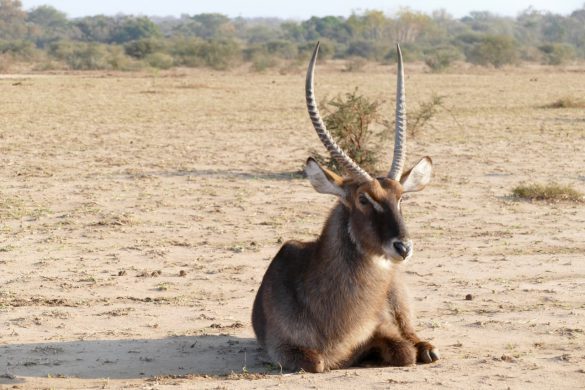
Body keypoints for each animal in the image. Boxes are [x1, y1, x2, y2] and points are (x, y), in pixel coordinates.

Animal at [251, 42, 438, 372]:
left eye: (401, 197)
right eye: (363, 198)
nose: (403, 247)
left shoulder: (384, 329)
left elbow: (404, 352)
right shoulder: (281, 348)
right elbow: (317, 362)